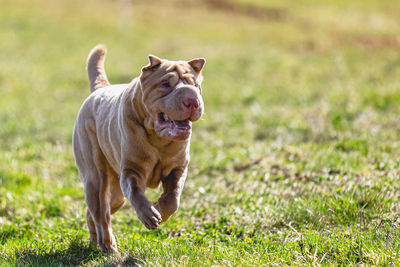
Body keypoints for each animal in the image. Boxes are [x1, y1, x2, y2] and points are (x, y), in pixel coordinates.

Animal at [71, 44, 206, 253]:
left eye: (196, 86)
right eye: (165, 84)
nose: (192, 101)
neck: (159, 139)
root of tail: (101, 88)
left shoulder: (177, 168)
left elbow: (173, 197)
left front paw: (160, 211)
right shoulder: (132, 171)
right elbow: (136, 192)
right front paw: (149, 215)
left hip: (116, 195)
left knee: (94, 212)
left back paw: (96, 242)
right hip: (96, 178)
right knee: (102, 213)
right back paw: (109, 246)